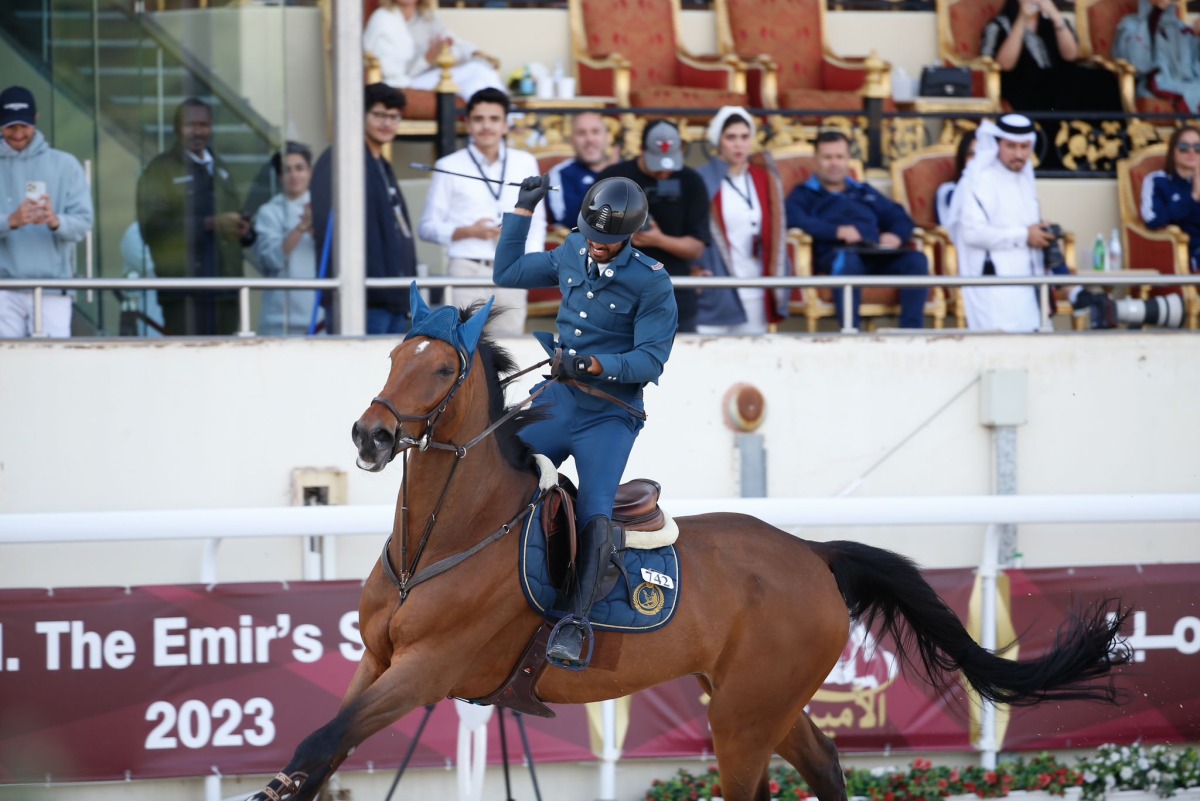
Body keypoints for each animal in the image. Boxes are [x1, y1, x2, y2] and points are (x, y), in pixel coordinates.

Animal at [248, 303, 1128, 801]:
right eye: (392, 356)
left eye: (438, 367)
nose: (370, 435)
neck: (447, 537)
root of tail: (813, 554)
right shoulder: (379, 661)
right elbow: (323, 747)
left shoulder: (429, 670)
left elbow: (321, 742)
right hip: (762, 700)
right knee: (825, 762)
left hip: (742, 717)